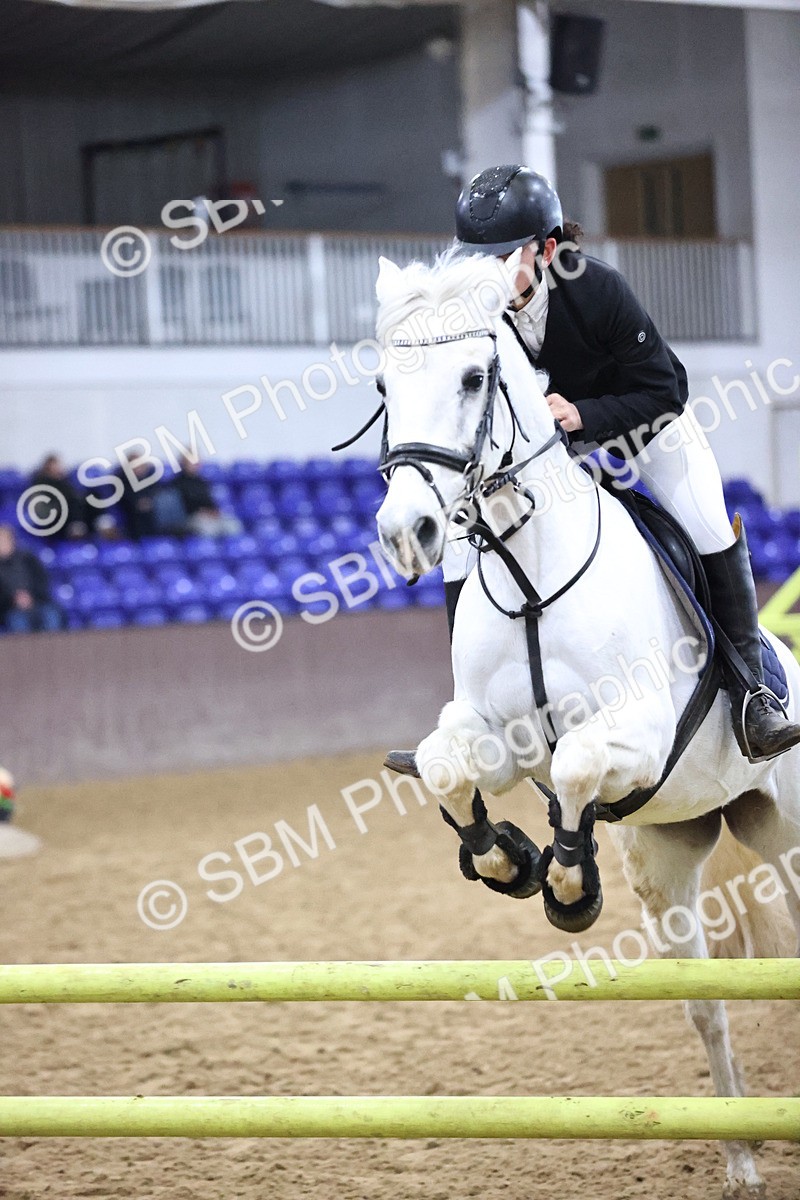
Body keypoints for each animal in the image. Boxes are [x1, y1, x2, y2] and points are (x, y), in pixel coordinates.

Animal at [371, 250, 800, 1200]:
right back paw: (741, 1156)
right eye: (384, 383)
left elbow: (575, 767)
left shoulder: (637, 733)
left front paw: (568, 881)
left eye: (473, 377)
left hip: (789, 821)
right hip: (680, 854)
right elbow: (450, 767)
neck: (532, 574)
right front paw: (510, 859)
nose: (407, 532)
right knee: (707, 1006)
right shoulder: (497, 742)